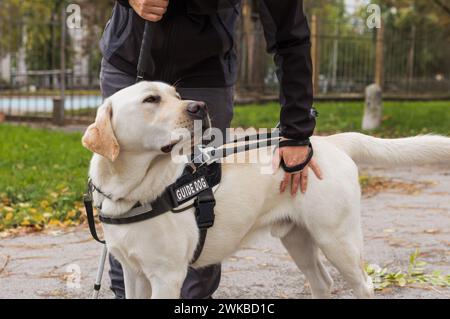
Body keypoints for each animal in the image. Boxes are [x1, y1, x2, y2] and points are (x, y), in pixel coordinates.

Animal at [82, 80, 448, 300]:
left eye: (176, 94)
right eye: (151, 99)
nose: (199, 106)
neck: (132, 192)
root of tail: (330, 141)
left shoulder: (167, 275)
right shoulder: (133, 272)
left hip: (338, 240)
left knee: (362, 285)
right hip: (298, 238)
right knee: (323, 282)